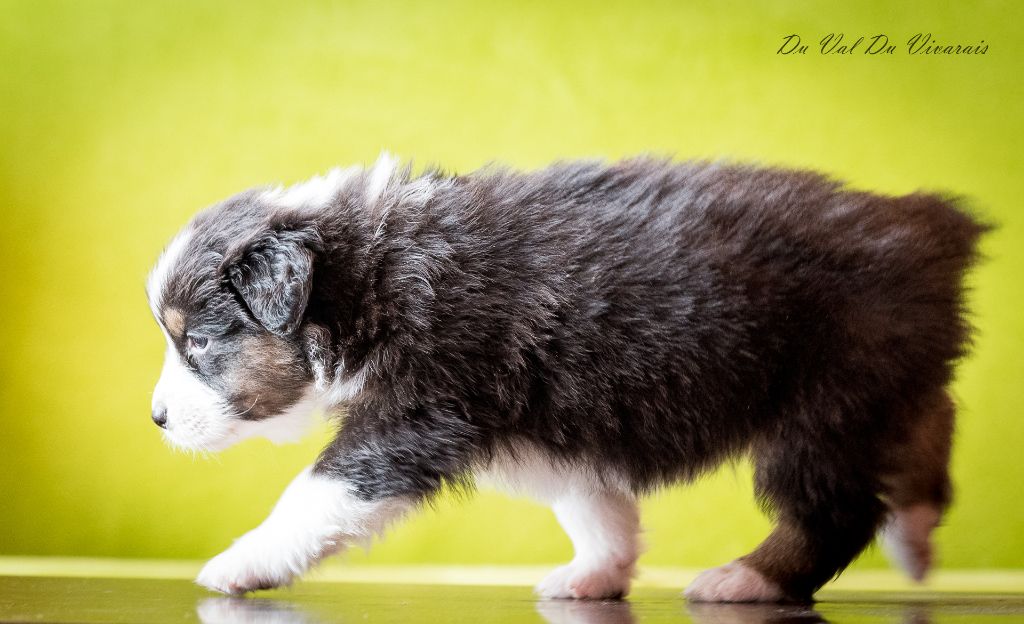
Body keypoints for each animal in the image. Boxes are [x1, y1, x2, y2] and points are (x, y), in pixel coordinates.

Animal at [147, 154, 986, 601]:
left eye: (198, 345)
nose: (155, 420)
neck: (365, 278)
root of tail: (927, 227)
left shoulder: (415, 414)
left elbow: (317, 492)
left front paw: (240, 562)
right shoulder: (556, 423)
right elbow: (595, 507)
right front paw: (594, 575)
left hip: (824, 401)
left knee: (832, 509)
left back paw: (746, 581)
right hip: (881, 382)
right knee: (930, 419)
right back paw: (918, 532)